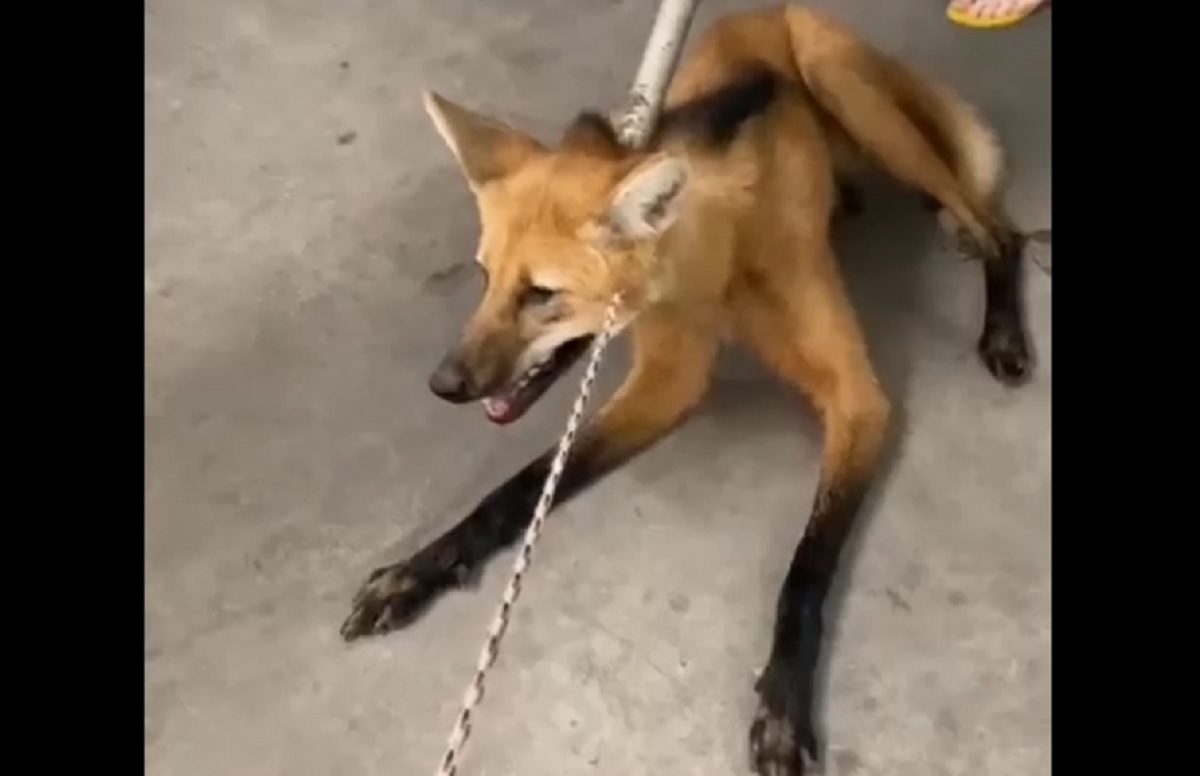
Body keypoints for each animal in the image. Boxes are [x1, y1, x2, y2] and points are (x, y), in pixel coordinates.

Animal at [345, 4, 1032, 772]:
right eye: (485, 278)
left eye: (542, 296)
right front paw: (416, 571)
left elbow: (805, 569)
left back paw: (1002, 325)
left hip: (841, 78)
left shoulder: (858, 398)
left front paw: (782, 707)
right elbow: (516, 490)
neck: (713, 268)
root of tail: (769, 10)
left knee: (999, 227)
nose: (443, 383)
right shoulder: (667, 380)